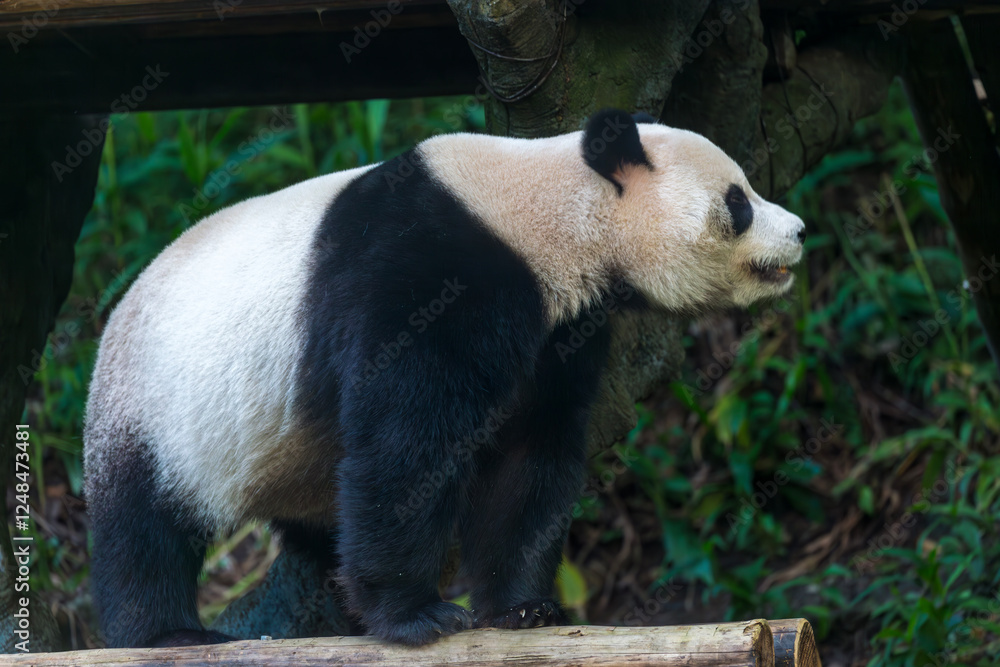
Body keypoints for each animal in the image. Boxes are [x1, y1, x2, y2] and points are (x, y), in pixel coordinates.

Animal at [83, 109, 805, 648]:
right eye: (738, 201)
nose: (799, 231)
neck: (550, 216)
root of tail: (117, 310)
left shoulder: (558, 330)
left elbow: (530, 452)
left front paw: (522, 608)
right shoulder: (422, 273)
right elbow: (408, 444)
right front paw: (419, 617)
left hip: (288, 458)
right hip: (155, 405)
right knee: (142, 524)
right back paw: (166, 633)